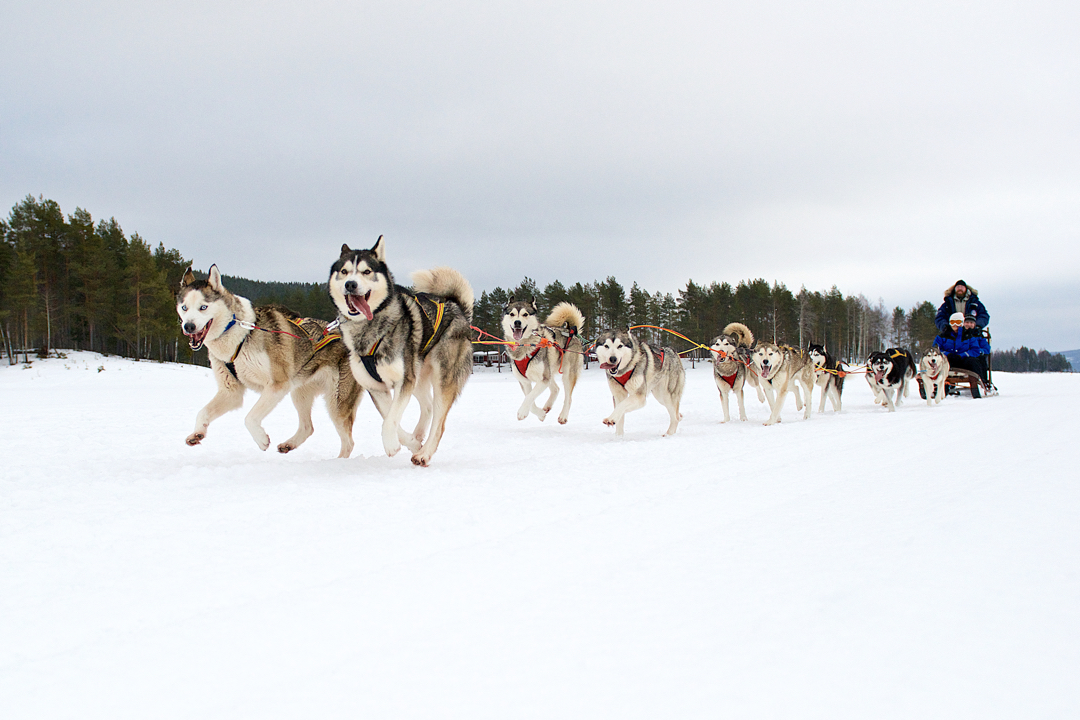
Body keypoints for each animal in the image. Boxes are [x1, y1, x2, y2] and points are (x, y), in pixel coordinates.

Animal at [176, 264, 362, 455]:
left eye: (203, 307)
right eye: (184, 307)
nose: (188, 326)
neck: (240, 336)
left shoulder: (277, 385)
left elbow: (250, 417)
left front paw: (261, 439)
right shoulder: (231, 391)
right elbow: (203, 412)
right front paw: (197, 433)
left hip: (336, 403)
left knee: (348, 442)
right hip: (300, 392)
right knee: (307, 427)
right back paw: (289, 444)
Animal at [328, 236, 473, 468]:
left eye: (366, 271)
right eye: (344, 271)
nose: (351, 284)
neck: (368, 331)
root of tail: (457, 307)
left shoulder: (404, 380)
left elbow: (390, 420)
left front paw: (392, 445)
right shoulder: (377, 387)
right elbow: (390, 416)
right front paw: (410, 442)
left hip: (442, 377)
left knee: (439, 421)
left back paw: (425, 453)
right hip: (418, 374)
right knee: (428, 406)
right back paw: (419, 438)